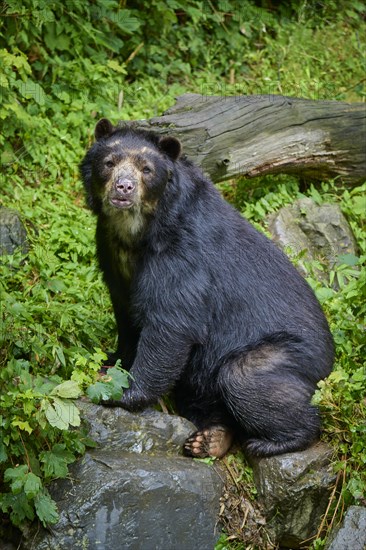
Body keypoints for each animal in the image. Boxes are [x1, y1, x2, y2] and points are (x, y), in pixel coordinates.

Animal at [81, 121, 334, 462]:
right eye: (109, 162)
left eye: (147, 169)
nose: (124, 187)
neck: (137, 231)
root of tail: (329, 363)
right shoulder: (111, 253)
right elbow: (125, 313)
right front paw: (111, 362)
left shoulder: (182, 255)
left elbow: (171, 324)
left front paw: (123, 393)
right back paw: (212, 437)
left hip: (287, 357)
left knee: (242, 378)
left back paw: (274, 441)